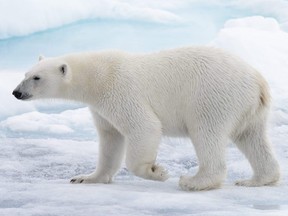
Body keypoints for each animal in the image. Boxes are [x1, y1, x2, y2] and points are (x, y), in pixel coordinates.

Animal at [12, 46, 280, 191]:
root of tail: (257, 80)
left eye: (36, 78)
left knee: (206, 132)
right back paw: (257, 180)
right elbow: (110, 140)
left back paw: (194, 181)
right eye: (25, 73)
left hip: (212, 96)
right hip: (251, 109)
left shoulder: (120, 90)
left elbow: (144, 127)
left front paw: (156, 171)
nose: (16, 92)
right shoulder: (101, 108)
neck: (97, 77)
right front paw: (85, 178)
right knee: (252, 138)